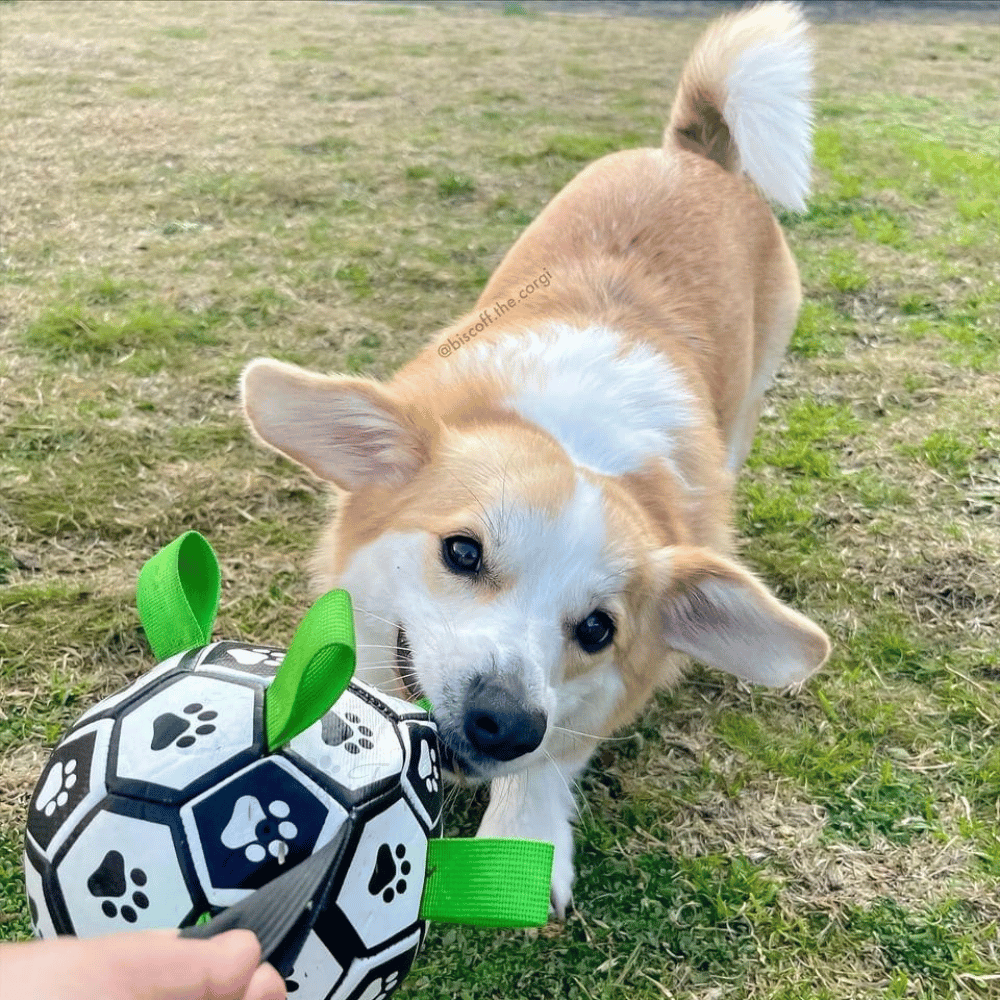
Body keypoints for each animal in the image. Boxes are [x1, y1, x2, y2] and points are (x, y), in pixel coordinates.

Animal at [240, 1, 828, 916]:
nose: (505, 724)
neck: (575, 429)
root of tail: (693, 155)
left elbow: (559, 758)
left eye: (597, 629)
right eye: (462, 552)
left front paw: (527, 826)